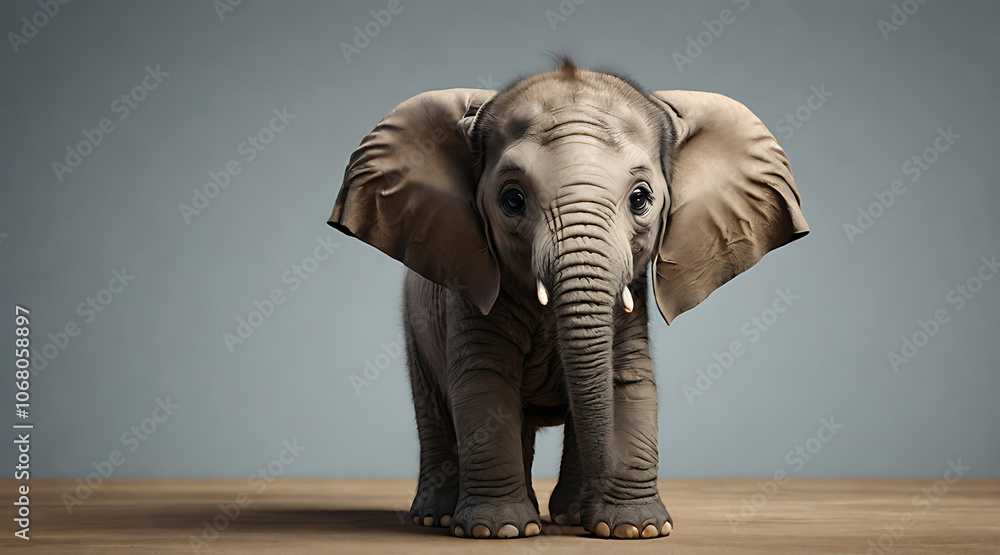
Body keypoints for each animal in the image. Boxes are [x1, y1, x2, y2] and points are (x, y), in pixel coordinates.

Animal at [328, 59, 808, 540]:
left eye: (641, 198)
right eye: (512, 199)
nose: (602, 491)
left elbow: (628, 382)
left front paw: (634, 529)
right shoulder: (473, 288)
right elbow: (484, 383)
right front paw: (497, 531)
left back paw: (569, 515)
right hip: (415, 324)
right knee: (435, 409)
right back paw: (440, 517)